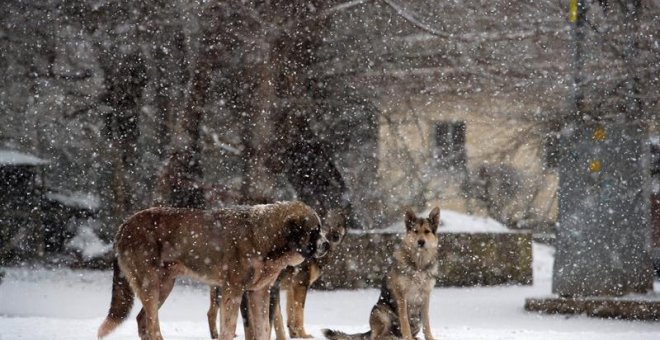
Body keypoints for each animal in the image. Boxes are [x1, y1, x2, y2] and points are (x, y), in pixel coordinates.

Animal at [97, 199, 330, 340]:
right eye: (314, 231)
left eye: (320, 231)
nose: (327, 244)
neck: (264, 237)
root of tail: (124, 226)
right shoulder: (233, 290)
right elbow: (230, 328)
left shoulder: (259, 292)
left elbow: (264, 328)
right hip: (150, 285)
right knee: (152, 325)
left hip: (164, 286)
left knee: (142, 320)